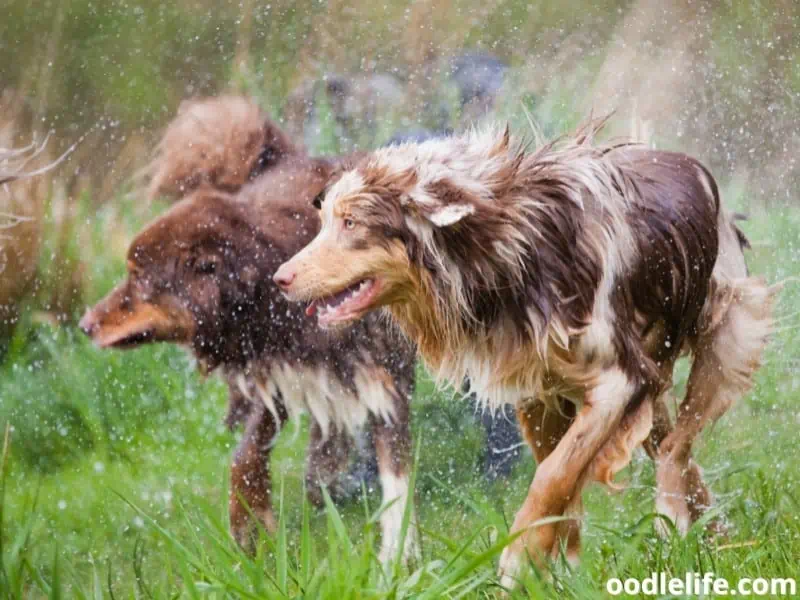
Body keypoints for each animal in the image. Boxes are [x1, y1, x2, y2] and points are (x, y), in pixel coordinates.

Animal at [81, 97, 418, 564]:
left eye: (136, 276)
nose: (84, 324)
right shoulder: (274, 369)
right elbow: (246, 455)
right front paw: (250, 527)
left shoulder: (383, 375)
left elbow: (396, 476)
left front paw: (397, 556)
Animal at [276, 120, 776, 584]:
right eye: (325, 222)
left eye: (351, 223)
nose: (280, 278)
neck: (510, 252)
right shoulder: (539, 394)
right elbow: (558, 485)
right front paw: (556, 569)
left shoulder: (619, 380)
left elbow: (553, 477)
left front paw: (518, 563)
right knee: (674, 447)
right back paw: (713, 531)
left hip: (727, 335)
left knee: (677, 446)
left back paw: (674, 519)